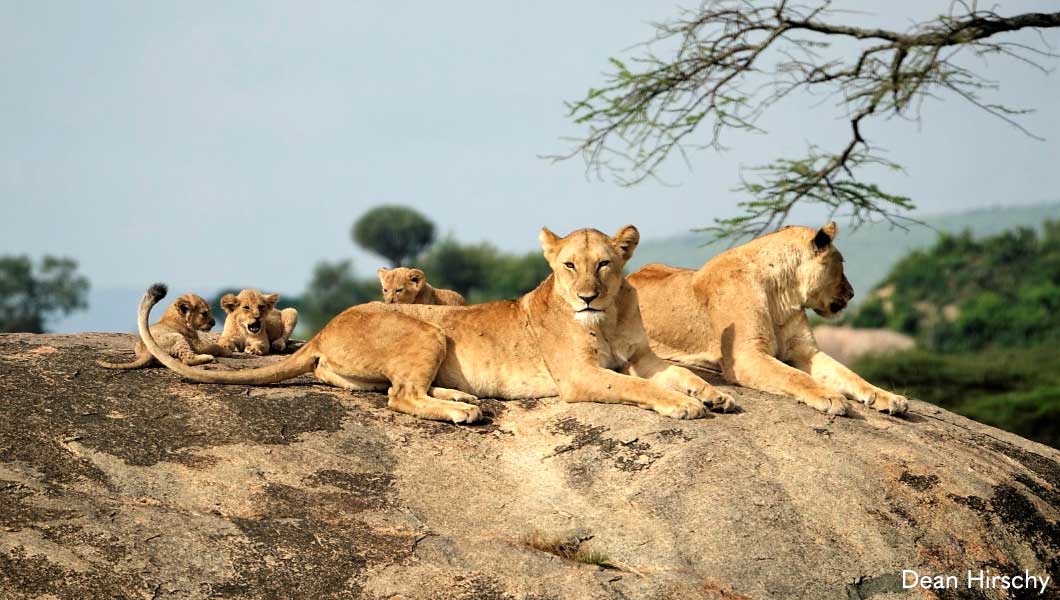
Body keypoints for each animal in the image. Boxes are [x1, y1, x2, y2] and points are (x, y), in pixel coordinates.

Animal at [97, 293, 227, 370]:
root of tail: (146, 350)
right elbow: (214, 346)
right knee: (187, 359)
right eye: (204, 313)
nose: (214, 323)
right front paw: (227, 351)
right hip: (177, 337)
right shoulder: (197, 346)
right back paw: (208, 357)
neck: (174, 316)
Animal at [135, 225, 736, 424]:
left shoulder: (645, 356)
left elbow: (681, 374)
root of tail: (326, 328)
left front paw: (716, 395)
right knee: (400, 396)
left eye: (605, 264)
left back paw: (463, 399)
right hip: (427, 330)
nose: (586, 294)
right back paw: (461, 412)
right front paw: (683, 406)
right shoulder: (580, 377)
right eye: (569, 266)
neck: (607, 316)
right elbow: (639, 389)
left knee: (401, 390)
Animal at [628, 222, 909, 416]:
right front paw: (829, 396)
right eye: (842, 262)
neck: (783, 295)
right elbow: (795, 377)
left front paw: (889, 397)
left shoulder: (807, 350)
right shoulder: (745, 355)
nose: (852, 293)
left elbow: (849, 375)